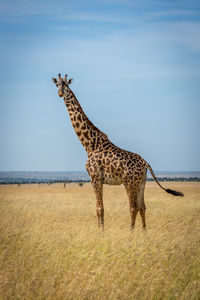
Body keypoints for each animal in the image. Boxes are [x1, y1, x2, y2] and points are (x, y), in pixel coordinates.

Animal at [52, 74, 184, 231]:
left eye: (66, 84)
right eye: (57, 84)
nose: (60, 93)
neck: (89, 145)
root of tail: (145, 163)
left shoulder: (95, 177)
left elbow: (99, 208)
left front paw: (101, 232)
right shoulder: (98, 179)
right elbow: (98, 208)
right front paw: (101, 230)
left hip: (129, 183)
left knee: (133, 207)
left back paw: (131, 232)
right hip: (142, 183)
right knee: (142, 206)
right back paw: (144, 232)